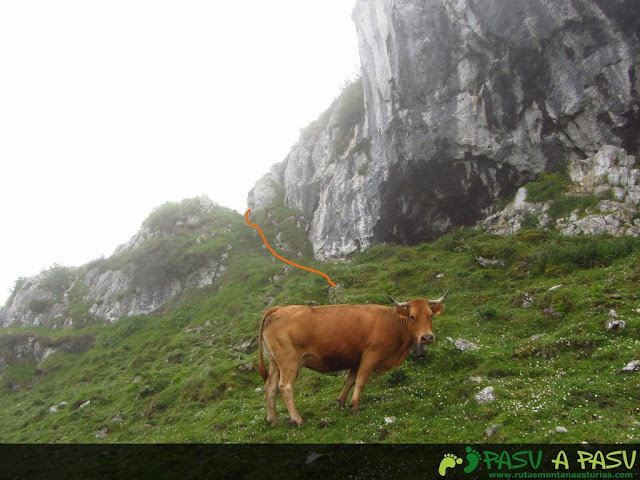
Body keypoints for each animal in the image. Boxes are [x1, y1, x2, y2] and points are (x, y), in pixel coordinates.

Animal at [258, 292, 448, 424]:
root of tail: (279, 309)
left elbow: (350, 380)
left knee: (271, 386)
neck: (391, 322)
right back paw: (297, 419)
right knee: (285, 386)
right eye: (412, 316)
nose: (427, 337)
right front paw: (354, 405)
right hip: (288, 362)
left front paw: (341, 402)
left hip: (275, 363)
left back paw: (272, 420)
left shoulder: (356, 358)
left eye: (430, 315)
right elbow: (361, 380)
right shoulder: (371, 354)